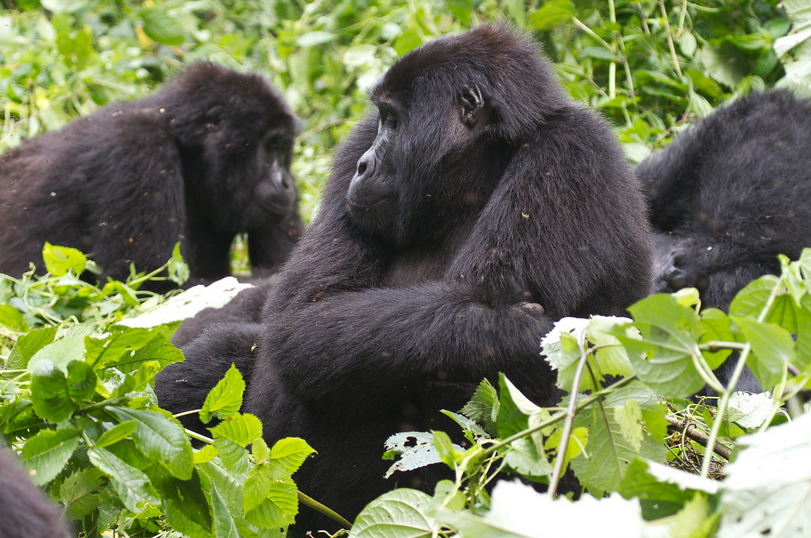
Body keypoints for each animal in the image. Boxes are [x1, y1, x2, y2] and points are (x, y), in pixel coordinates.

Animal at [157, 25, 652, 532]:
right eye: (379, 120)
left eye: (393, 121)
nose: (364, 166)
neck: (481, 166)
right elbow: (309, 315)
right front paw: (508, 331)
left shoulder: (570, 153)